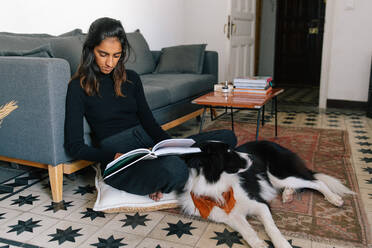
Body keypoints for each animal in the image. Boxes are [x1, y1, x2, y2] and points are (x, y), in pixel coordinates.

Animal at [179, 141, 354, 248]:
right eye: (228, 152)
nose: (252, 157)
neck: (217, 185)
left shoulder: (260, 204)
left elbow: (271, 227)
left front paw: (282, 244)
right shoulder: (229, 216)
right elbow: (247, 231)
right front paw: (258, 243)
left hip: (279, 175)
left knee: (316, 182)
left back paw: (334, 198)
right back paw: (288, 194)